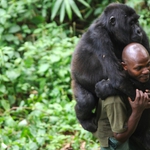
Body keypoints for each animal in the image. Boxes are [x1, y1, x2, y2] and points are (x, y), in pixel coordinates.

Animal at [71, 2, 149, 133]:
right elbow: (119, 79)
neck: (109, 30)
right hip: (76, 82)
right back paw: (84, 120)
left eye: (137, 22)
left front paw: (104, 88)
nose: (138, 31)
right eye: (131, 23)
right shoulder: (98, 35)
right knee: (85, 101)